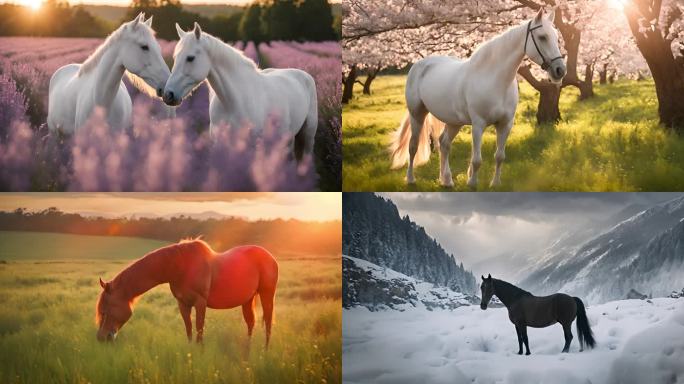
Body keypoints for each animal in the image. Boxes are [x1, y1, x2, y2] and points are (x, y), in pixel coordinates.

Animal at [95, 240, 280, 344]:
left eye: (105, 310)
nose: (101, 338)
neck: (180, 267)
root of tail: (270, 257)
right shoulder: (183, 304)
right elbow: (189, 329)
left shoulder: (200, 303)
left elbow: (199, 329)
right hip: (248, 300)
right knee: (251, 324)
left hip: (267, 295)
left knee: (268, 324)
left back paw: (264, 352)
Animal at [163, 22, 318, 164]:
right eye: (175, 57)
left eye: (190, 58)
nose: (168, 95)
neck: (233, 102)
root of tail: (303, 74)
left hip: (308, 135)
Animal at [390, 8, 568, 188]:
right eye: (542, 37)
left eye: (556, 37)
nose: (560, 70)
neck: (494, 79)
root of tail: (419, 65)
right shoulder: (478, 124)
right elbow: (476, 160)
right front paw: (472, 183)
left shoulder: (505, 124)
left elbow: (499, 156)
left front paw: (495, 184)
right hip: (417, 114)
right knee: (413, 146)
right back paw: (411, 179)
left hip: (454, 122)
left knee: (444, 144)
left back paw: (447, 181)